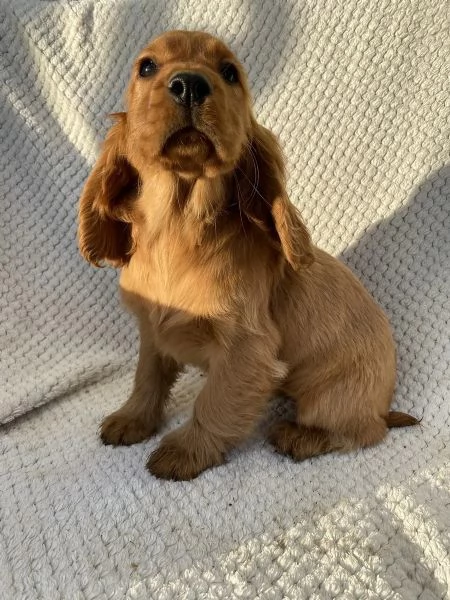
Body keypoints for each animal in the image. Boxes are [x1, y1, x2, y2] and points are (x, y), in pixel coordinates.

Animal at [77, 30, 418, 480]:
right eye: (147, 66)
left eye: (229, 72)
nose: (189, 83)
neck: (178, 227)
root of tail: (386, 402)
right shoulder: (152, 331)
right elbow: (146, 378)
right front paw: (132, 419)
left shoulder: (246, 349)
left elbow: (213, 403)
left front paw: (184, 451)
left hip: (335, 394)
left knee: (363, 430)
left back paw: (300, 436)